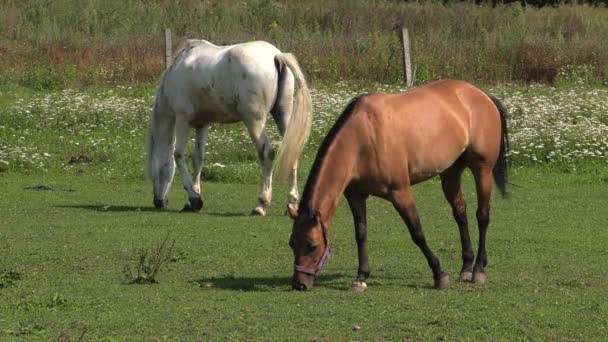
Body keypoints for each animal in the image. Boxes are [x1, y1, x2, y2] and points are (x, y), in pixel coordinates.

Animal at [145, 40, 312, 216]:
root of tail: (276, 55)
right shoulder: (202, 124)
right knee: (291, 151)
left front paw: (195, 198)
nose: (157, 202)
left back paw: (260, 205)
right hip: (283, 115)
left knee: (267, 154)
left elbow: (178, 155)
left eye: (154, 172)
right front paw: (192, 200)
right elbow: (198, 158)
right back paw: (292, 204)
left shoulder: (183, 118)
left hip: (254, 121)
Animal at [288, 79, 508, 292]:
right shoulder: (355, 195)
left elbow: (417, 233)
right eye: (291, 244)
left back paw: (478, 270)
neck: (361, 138)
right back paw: (466, 268)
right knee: (460, 214)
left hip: (482, 171)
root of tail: (482, 95)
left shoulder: (400, 192)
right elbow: (361, 233)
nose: (299, 284)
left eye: (312, 245)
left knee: (482, 216)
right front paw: (361, 277)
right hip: (450, 173)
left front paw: (439, 274)